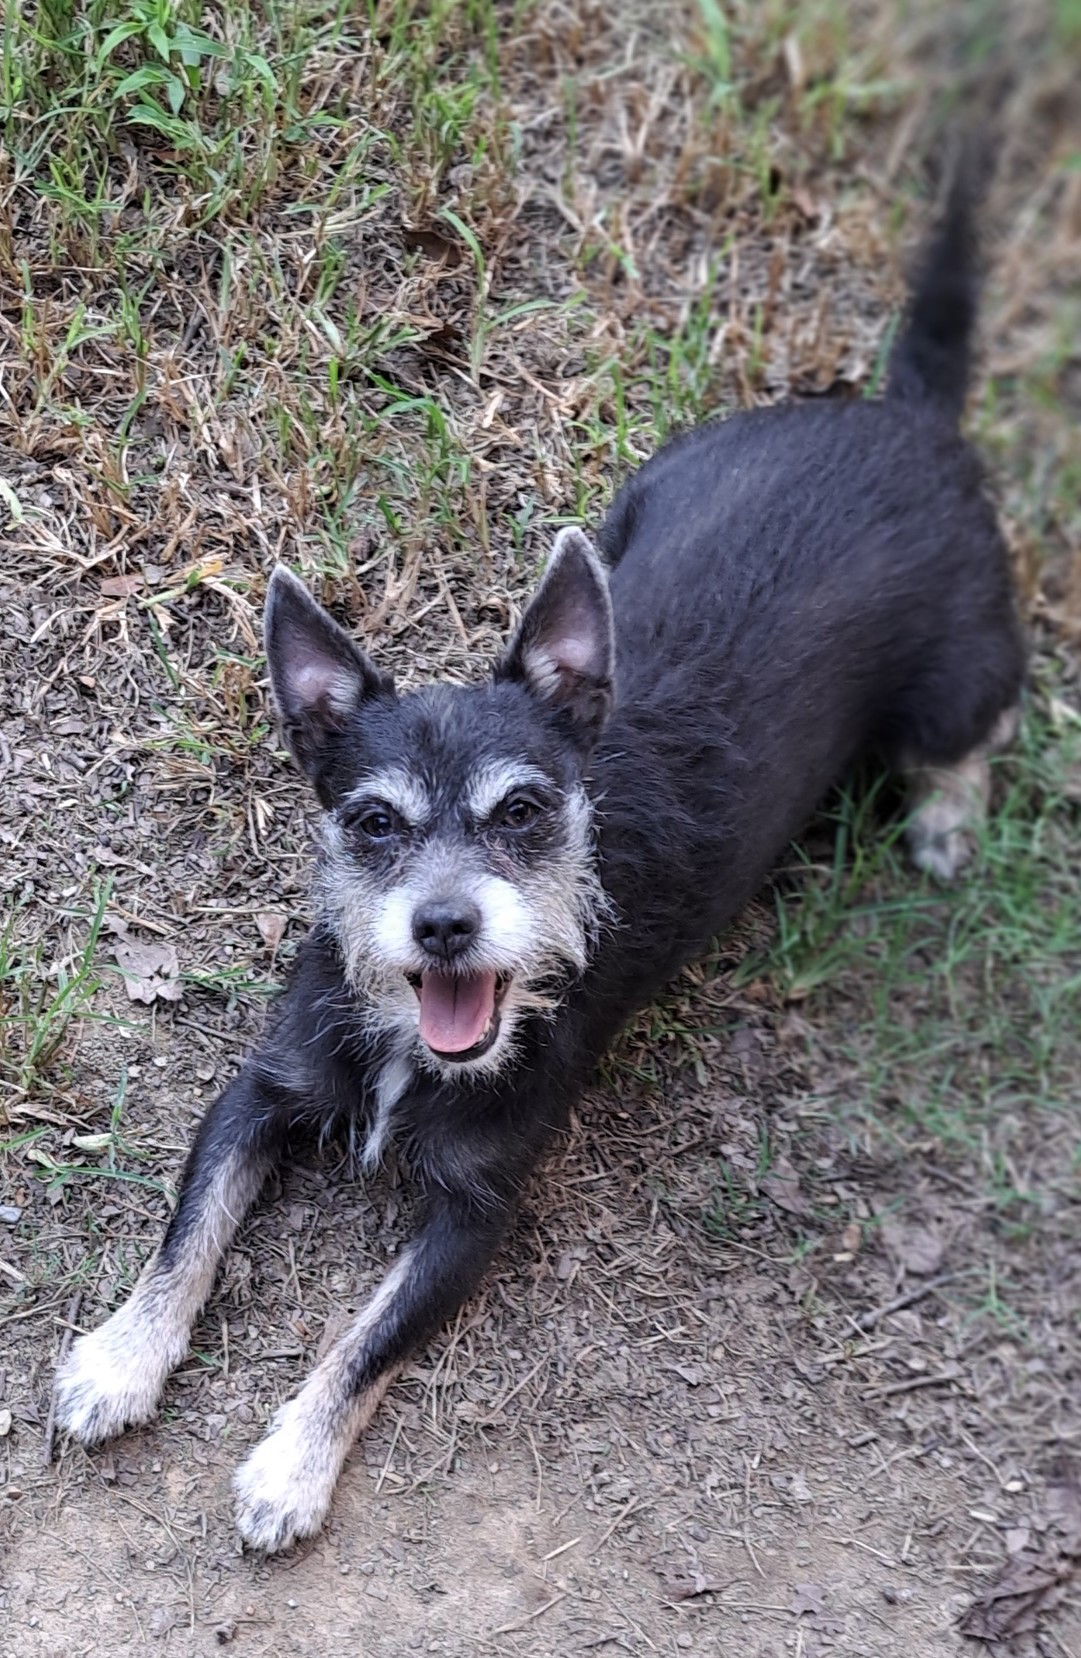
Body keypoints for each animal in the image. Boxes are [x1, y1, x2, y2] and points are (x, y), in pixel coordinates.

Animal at [57, 164, 1021, 1538]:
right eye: (372, 822)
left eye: (522, 811)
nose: (444, 925)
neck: (407, 1037)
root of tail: (906, 417)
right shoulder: (258, 1093)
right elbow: (185, 1233)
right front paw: (122, 1357)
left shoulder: (477, 1212)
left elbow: (364, 1339)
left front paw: (291, 1463)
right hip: (637, 499)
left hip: (947, 684)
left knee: (980, 727)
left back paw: (945, 818)